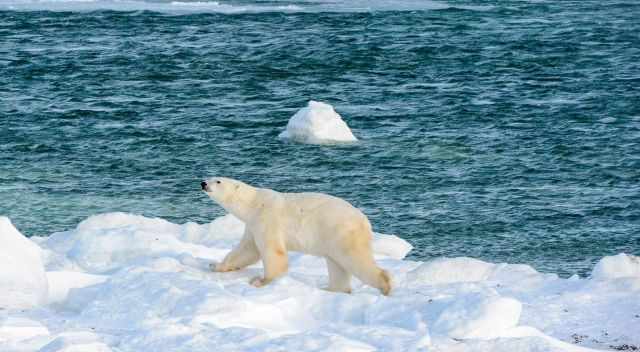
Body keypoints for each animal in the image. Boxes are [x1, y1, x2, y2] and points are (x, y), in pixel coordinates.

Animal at [201, 177, 390, 296]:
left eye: (218, 180)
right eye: (211, 177)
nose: (203, 183)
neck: (253, 203)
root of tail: (365, 221)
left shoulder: (267, 218)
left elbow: (272, 252)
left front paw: (261, 281)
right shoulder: (252, 225)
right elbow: (246, 250)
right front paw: (215, 265)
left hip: (342, 232)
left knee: (355, 259)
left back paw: (385, 285)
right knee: (337, 265)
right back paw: (331, 289)